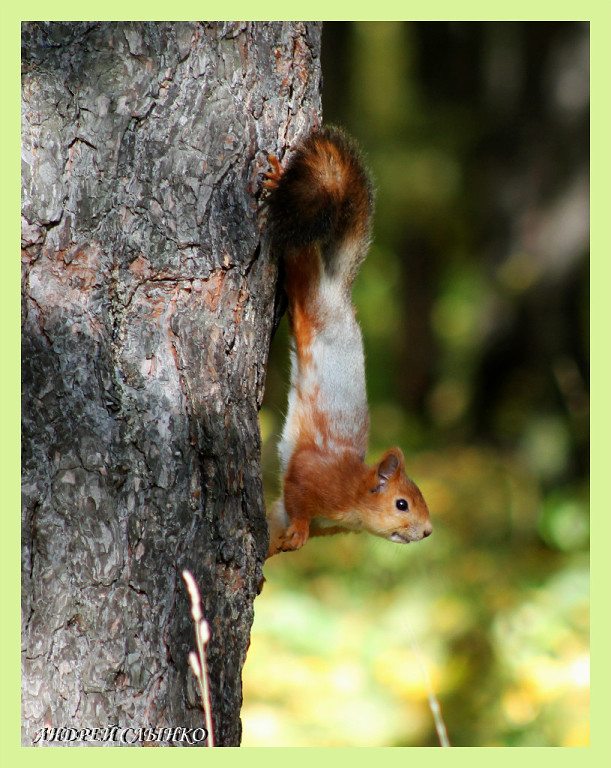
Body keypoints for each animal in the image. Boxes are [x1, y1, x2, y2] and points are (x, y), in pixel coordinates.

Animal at [266, 126, 432, 560]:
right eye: (401, 504)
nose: (428, 531)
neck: (352, 497)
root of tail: (338, 294)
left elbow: (275, 519)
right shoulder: (312, 475)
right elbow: (296, 497)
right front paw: (299, 531)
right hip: (307, 288)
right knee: (301, 252)